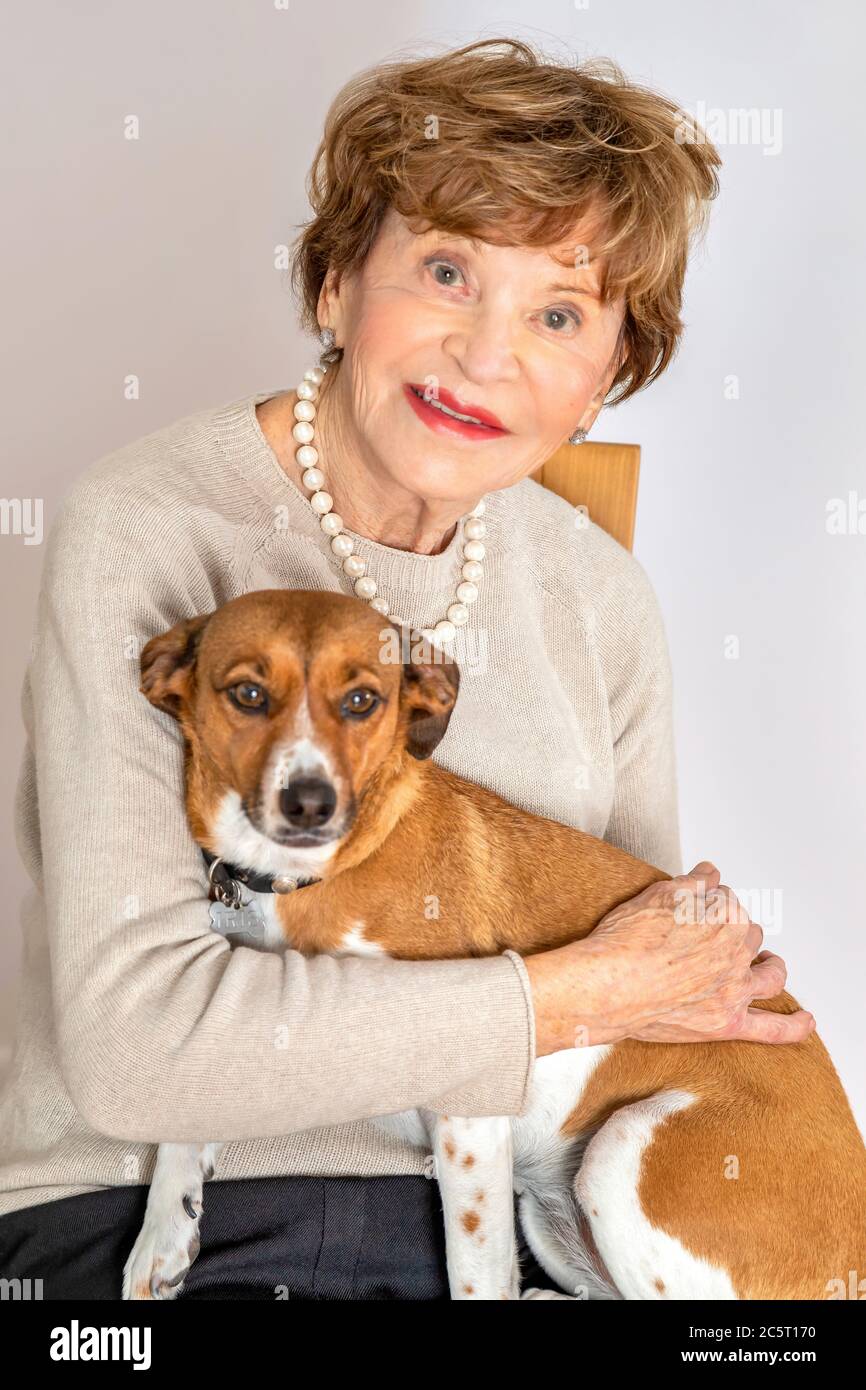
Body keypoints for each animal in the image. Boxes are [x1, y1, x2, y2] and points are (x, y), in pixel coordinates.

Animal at [123, 589, 866, 1301]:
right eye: (248, 693)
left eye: (362, 700)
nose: (310, 802)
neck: (302, 877)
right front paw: (163, 1231)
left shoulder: (471, 1116)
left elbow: (475, 1275)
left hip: (622, 1148)